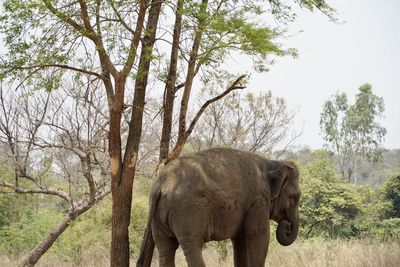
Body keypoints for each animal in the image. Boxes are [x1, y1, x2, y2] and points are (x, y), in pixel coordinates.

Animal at [138, 148, 300, 266]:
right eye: (296, 197)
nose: (286, 225)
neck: (270, 163)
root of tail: (160, 183)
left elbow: (240, 240)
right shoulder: (258, 200)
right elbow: (257, 234)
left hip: (158, 217)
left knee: (165, 248)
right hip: (187, 212)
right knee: (192, 247)